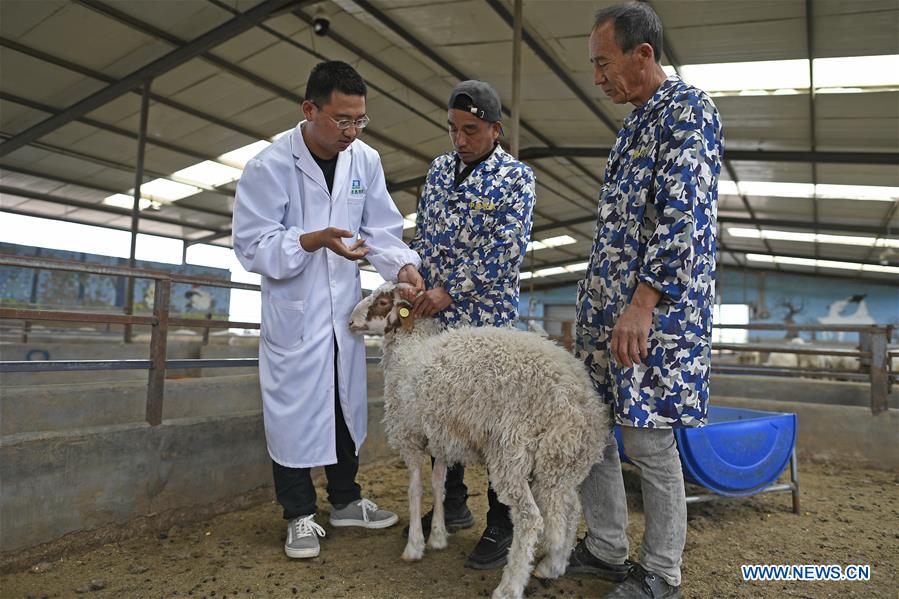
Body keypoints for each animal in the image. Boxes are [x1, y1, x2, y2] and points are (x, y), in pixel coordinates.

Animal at [348, 282, 609, 599]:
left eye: (383, 302)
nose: (350, 322)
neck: (410, 352)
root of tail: (580, 399)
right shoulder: (441, 438)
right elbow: (438, 485)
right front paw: (437, 537)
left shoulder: (410, 437)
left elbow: (415, 490)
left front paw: (414, 546)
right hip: (562, 463)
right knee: (569, 512)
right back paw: (553, 566)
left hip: (512, 454)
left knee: (530, 519)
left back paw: (510, 585)